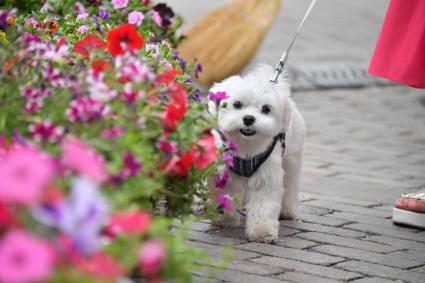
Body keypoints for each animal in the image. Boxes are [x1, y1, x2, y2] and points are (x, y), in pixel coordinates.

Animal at [208, 64, 302, 244]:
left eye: (266, 109)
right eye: (237, 104)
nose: (249, 119)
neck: (246, 147)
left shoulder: (266, 176)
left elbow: (263, 205)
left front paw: (262, 231)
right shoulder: (225, 173)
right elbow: (226, 194)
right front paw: (225, 219)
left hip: (292, 159)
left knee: (290, 184)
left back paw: (288, 211)